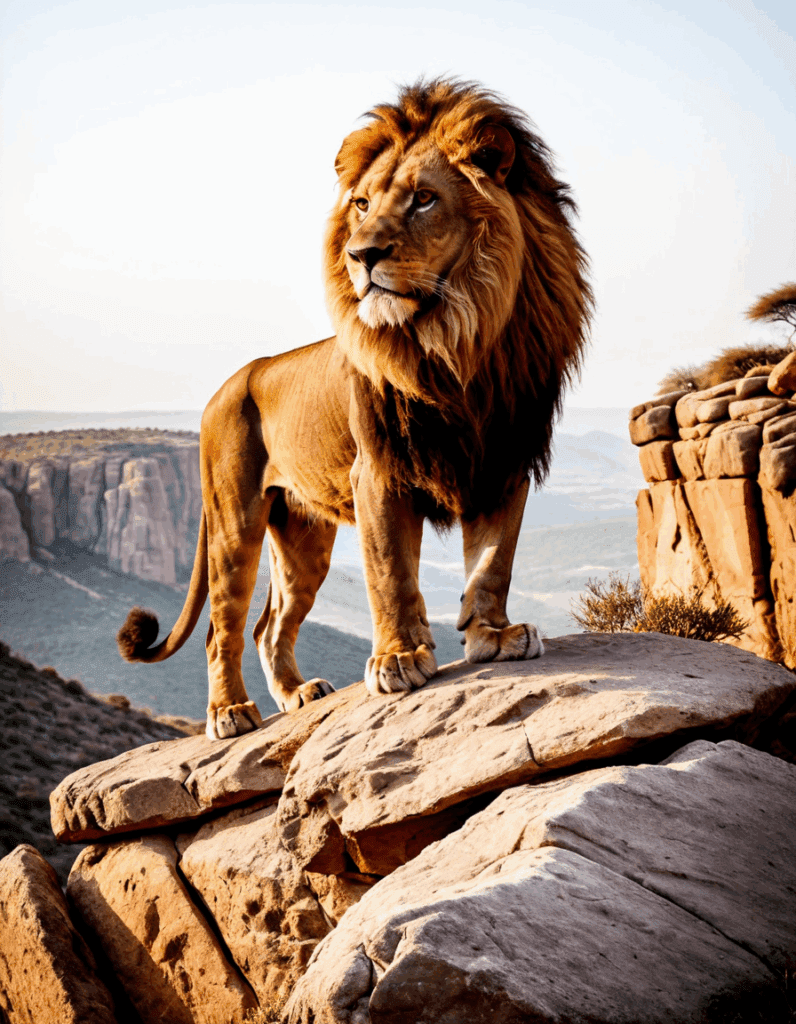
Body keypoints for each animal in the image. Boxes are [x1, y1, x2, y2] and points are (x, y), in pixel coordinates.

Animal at [117, 78, 592, 740]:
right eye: (363, 204)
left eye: (423, 199)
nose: (360, 255)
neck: (457, 343)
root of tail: (227, 385)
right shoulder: (380, 470)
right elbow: (390, 570)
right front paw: (398, 658)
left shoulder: (503, 460)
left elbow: (493, 560)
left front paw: (494, 636)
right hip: (234, 520)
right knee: (223, 628)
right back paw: (230, 713)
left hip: (301, 536)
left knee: (270, 624)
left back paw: (297, 694)